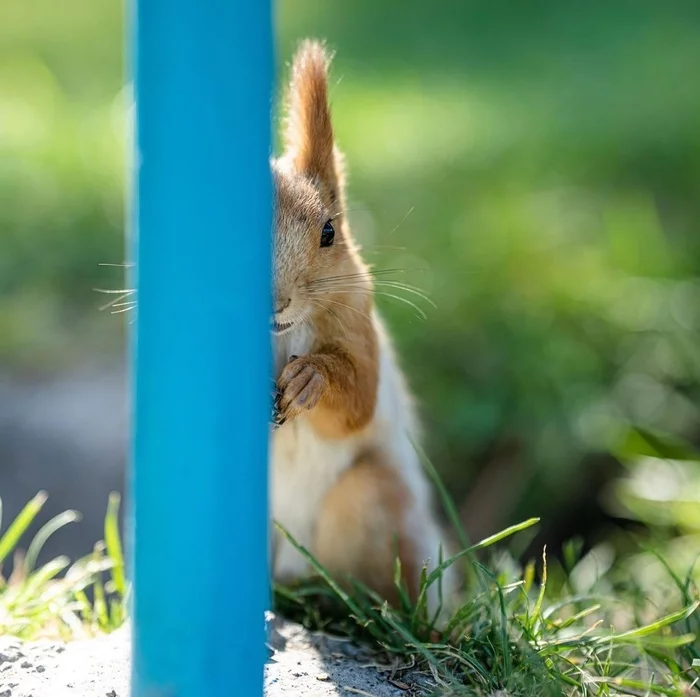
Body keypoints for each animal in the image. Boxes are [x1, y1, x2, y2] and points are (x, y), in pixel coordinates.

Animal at [270, 38, 460, 616]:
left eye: (330, 231)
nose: (277, 300)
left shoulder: (358, 315)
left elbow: (357, 398)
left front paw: (311, 378)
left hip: (371, 500)